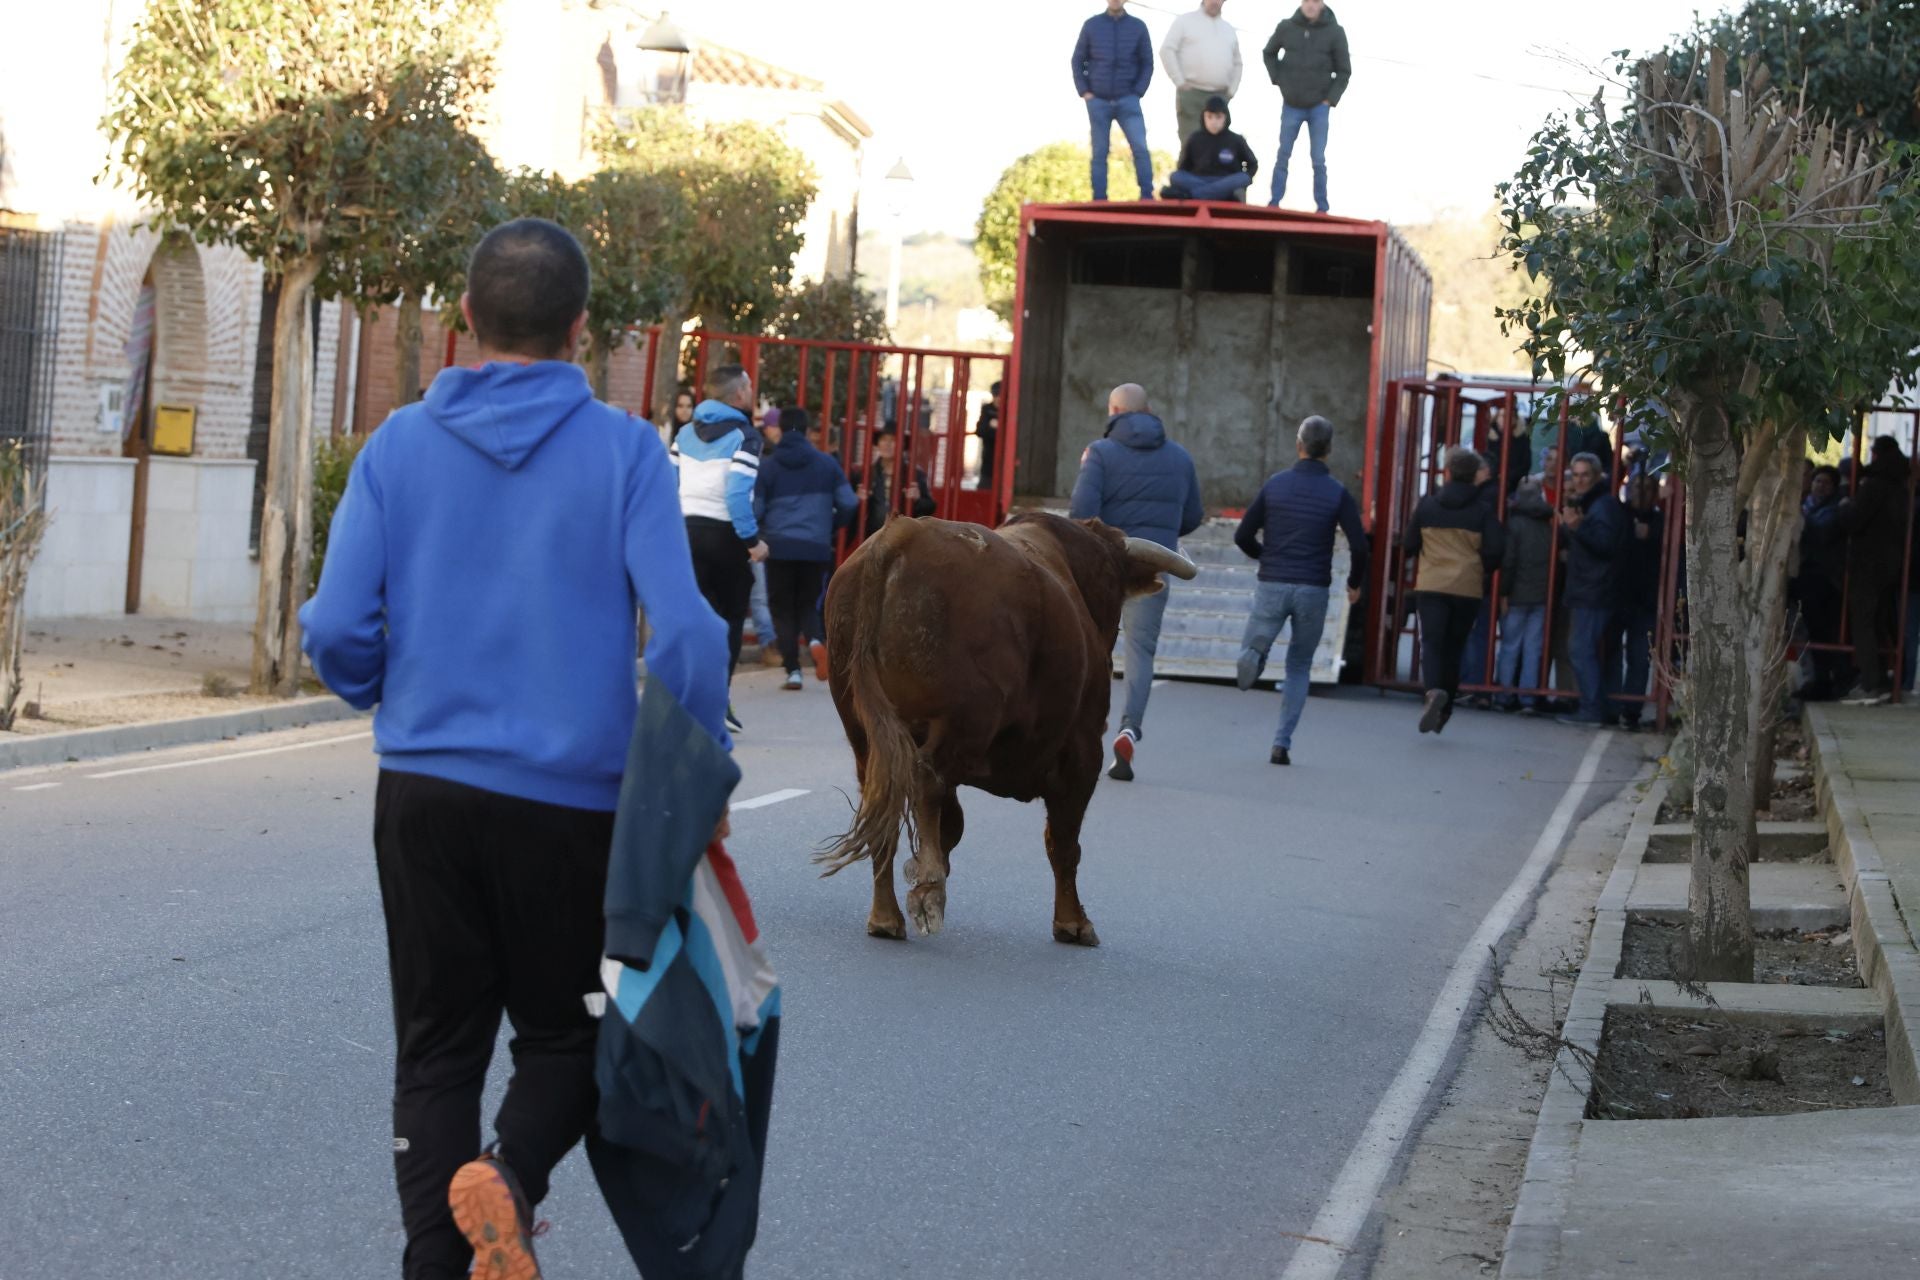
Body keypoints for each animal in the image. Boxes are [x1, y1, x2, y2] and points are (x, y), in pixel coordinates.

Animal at [814, 514, 1198, 948]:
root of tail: (904, 532)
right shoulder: (1083, 750)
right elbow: (1064, 841)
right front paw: (1073, 922)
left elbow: (953, 824)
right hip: (966, 720)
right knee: (925, 782)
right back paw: (929, 889)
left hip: (867, 735)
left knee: (884, 802)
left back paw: (886, 915)